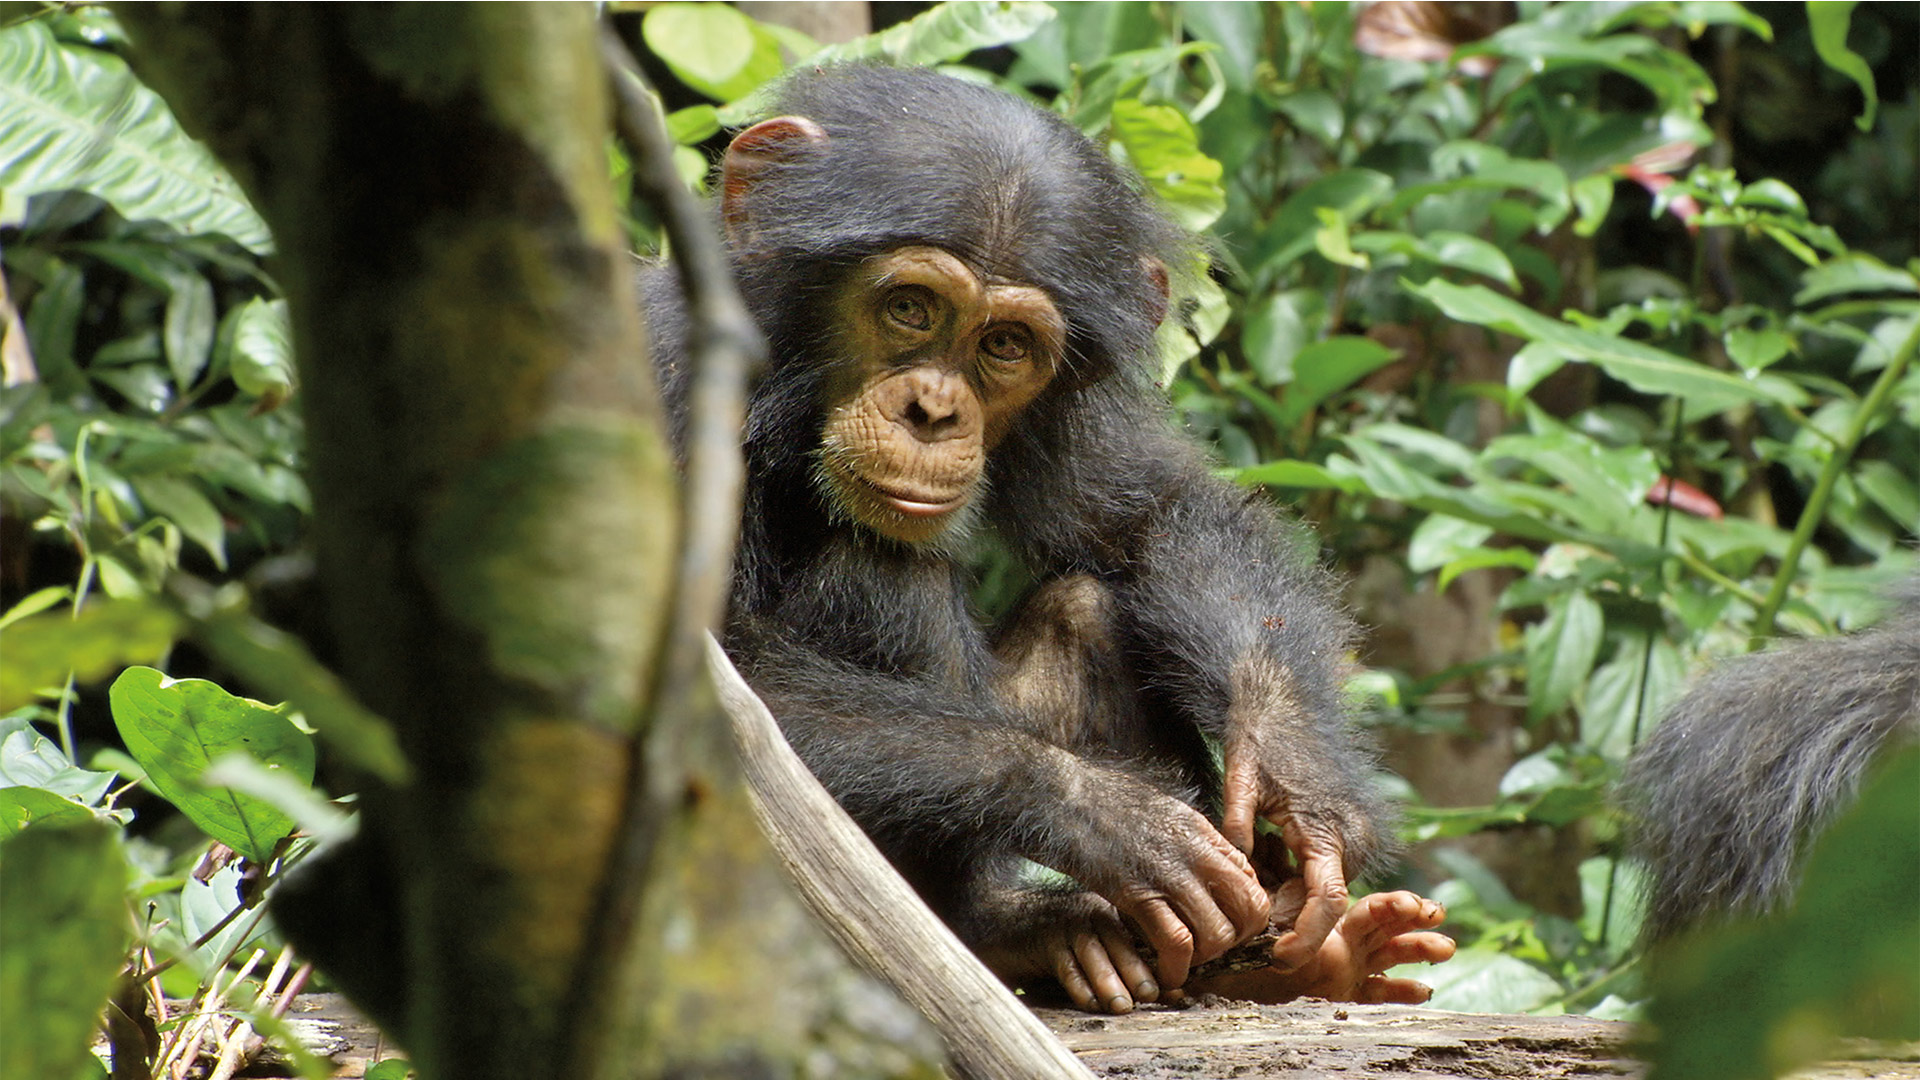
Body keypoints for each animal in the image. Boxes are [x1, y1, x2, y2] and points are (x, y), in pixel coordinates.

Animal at [643, 64, 1452, 1012]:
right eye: (909, 307)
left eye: (1005, 345)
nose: (932, 410)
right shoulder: (664, 378)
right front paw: (1105, 814)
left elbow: (1157, 512)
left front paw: (1299, 779)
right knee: (881, 565)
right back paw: (1009, 929)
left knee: (1088, 606)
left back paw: (1277, 958)